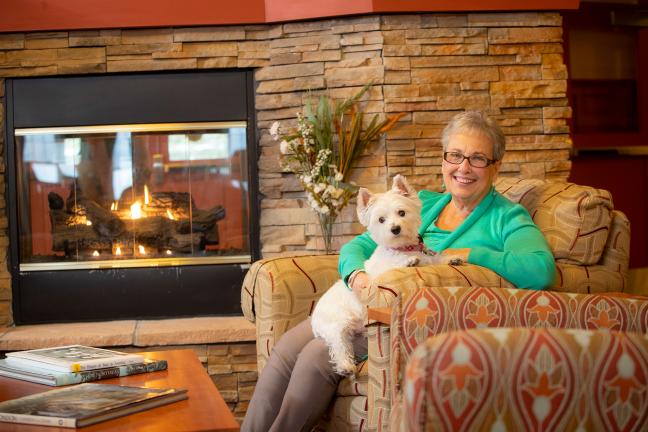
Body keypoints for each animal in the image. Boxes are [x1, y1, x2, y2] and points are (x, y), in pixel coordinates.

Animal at [310, 175, 458, 374]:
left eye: (402, 213)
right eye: (381, 219)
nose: (395, 229)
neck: (403, 248)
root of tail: (314, 320)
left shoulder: (427, 257)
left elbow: (434, 259)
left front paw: (451, 259)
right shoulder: (382, 271)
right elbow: (397, 265)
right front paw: (409, 262)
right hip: (337, 324)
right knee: (339, 344)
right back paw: (346, 365)